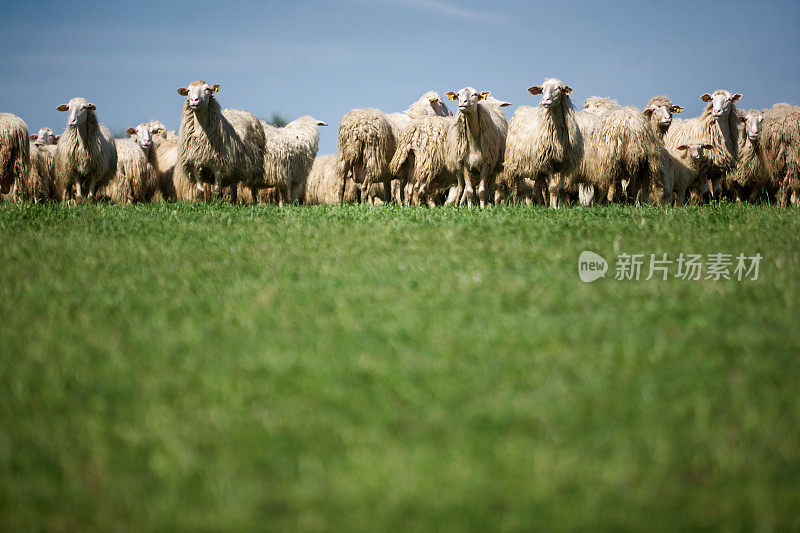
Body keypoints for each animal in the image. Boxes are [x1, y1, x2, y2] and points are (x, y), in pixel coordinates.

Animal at [506, 79, 580, 208]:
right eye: (542, 89)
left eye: (559, 88)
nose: (545, 100)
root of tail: (521, 109)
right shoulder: (548, 162)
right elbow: (553, 188)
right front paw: (554, 207)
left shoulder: (565, 163)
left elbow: (561, 189)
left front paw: (560, 207)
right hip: (514, 163)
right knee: (515, 189)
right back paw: (515, 205)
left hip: (536, 167)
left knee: (536, 188)